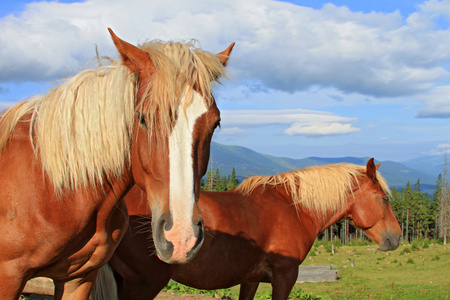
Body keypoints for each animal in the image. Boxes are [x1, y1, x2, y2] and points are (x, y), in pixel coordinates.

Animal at [1, 27, 236, 298]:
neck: (56, 189)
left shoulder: (79, 278)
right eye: (142, 118)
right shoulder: (9, 277)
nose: (181, 237)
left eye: (215, 123)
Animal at [91, 158, 400, 298]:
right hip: (144, 283)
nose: (396, 237)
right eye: (384, 198)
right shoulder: (284, 277)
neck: (293, 208)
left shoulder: (250, 279)